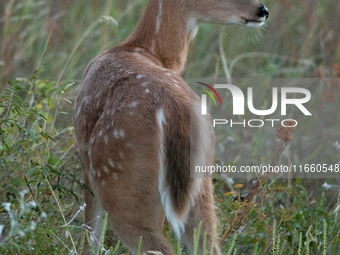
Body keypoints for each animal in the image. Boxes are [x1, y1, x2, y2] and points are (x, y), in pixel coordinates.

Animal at [73, 0, 268, 253]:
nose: (262, 11)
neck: (146, 49)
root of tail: (174, 108)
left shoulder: (87, 165)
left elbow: (90, 236)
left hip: (116, 175)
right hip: (199, 184)